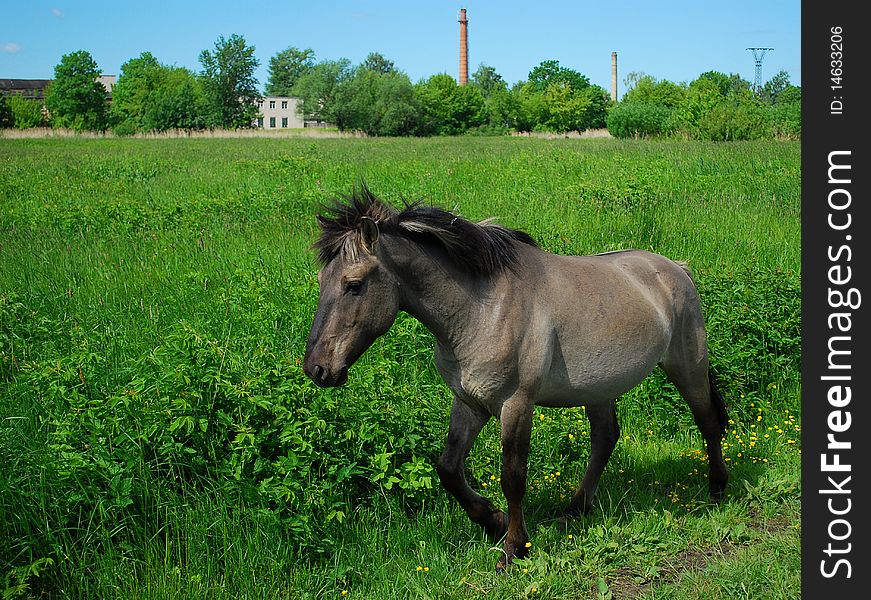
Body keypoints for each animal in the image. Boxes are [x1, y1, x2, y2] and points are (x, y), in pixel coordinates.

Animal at [306, 189, 728, 572]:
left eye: (354, 284)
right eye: (322, 280)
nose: (317, 369)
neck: (482, 308)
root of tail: (676, 268)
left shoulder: (516, 405)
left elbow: (512, 478)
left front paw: (513, 549)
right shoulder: (470, 402)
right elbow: (448, 468)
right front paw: (491, 522)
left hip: (687, 367)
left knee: (707, 422)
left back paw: (718, 489)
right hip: (599, 389)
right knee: (605, 439)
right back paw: (576, 508)